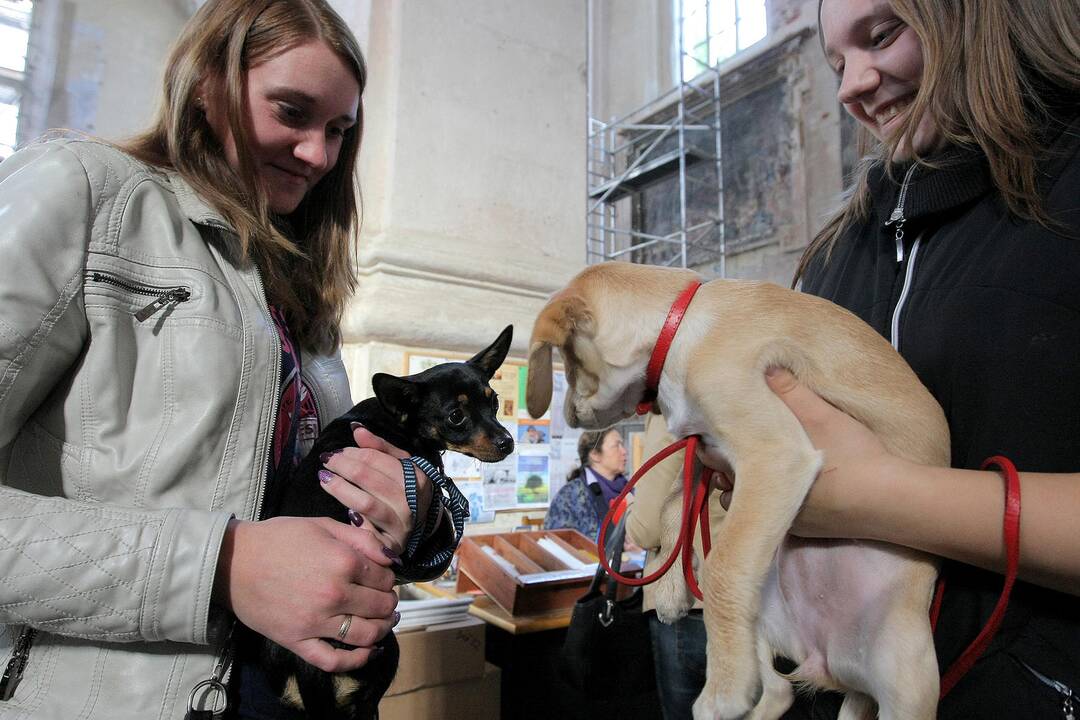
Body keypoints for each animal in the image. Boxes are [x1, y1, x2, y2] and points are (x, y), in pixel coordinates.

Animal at [257, 325, 518, 720]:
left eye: (495, 402)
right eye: (456, 416)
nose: (508, 442)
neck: (397, 420)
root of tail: (309, 665)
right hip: (387, 651)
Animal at [527, 263, 950, 720]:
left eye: (570, 364)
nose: (569, 415)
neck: (680, 326)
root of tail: (833, 667)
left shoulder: (774, 454)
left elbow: (721, 568)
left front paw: (722, 691)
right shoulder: (707, 449)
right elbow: (675, 504)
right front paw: (672, 591)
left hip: (905, 681)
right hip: (764, 614)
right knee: (779, 691)